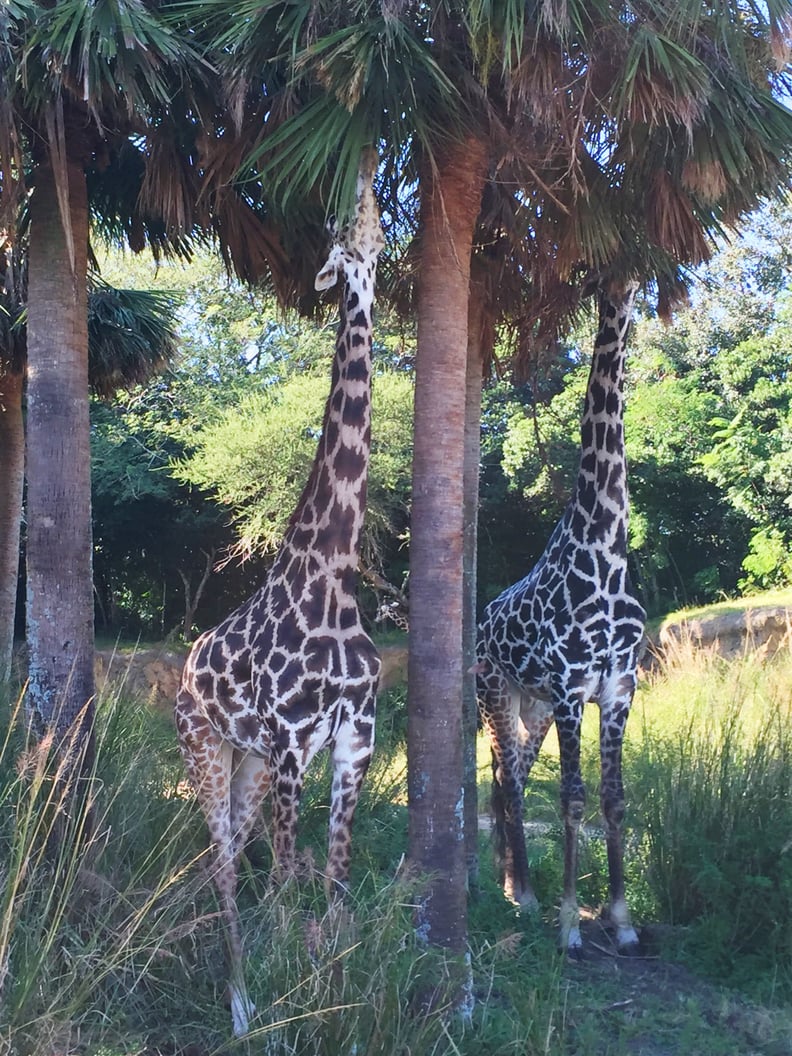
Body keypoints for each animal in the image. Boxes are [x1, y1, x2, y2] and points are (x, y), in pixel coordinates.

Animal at [475, 280, 646, 958]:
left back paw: (511, 883)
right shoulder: (575, 691)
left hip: (535, 706)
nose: (630, 293)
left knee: (510, 774)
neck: (605, 550)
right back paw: (522, 895)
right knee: (512, 783)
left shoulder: (618, 689)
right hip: (497, 694)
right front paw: (572, 925)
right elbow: (573, 800)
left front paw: (622, 922)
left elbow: (614, 799)